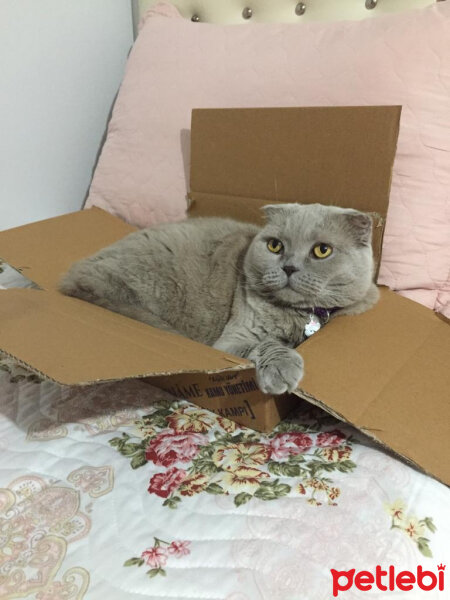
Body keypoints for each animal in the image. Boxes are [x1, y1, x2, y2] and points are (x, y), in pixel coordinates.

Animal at [59, 204, 376, 396]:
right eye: (275, 245)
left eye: (322, 250)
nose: (288, 267)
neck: (298, 316)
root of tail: (75, 275)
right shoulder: (233, 340)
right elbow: (266, 343)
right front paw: (282, 369)